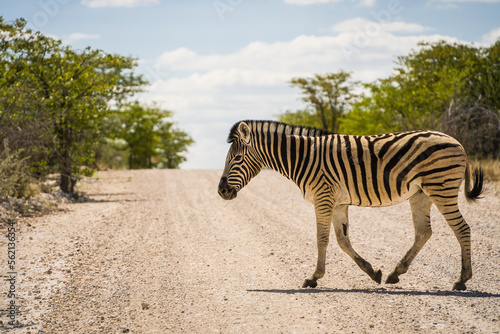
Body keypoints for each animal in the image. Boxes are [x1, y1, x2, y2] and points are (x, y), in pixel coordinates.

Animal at [219, 119, 484, 290]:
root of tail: (457, 141)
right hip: (421, 194)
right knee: (423, 232)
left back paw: (462, 280)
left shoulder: (323, 198)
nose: (221, 191)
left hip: (441, 188)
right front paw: (373, 272)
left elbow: (322, 239)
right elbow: (343, 241)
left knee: (462, 229)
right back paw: (395, 274)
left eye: (238, 158)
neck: (303, 158)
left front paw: (313, 277)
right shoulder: (337, 203)